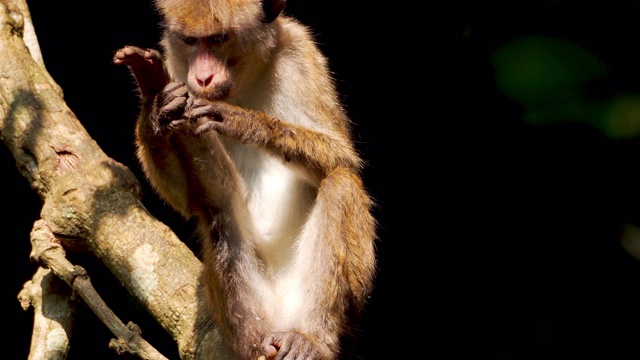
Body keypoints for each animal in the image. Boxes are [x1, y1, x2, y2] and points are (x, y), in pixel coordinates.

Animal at [114, 1, 376, 358]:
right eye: (190, 41)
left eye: (218, 39)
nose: (203, 76)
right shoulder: (177, 69)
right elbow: (190, 200)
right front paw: (157, 104)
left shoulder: (301, 51)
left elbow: (342, 157)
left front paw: (244, 122)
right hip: (251, 312)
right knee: (218, 210)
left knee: (342, 184)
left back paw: (310, 338)